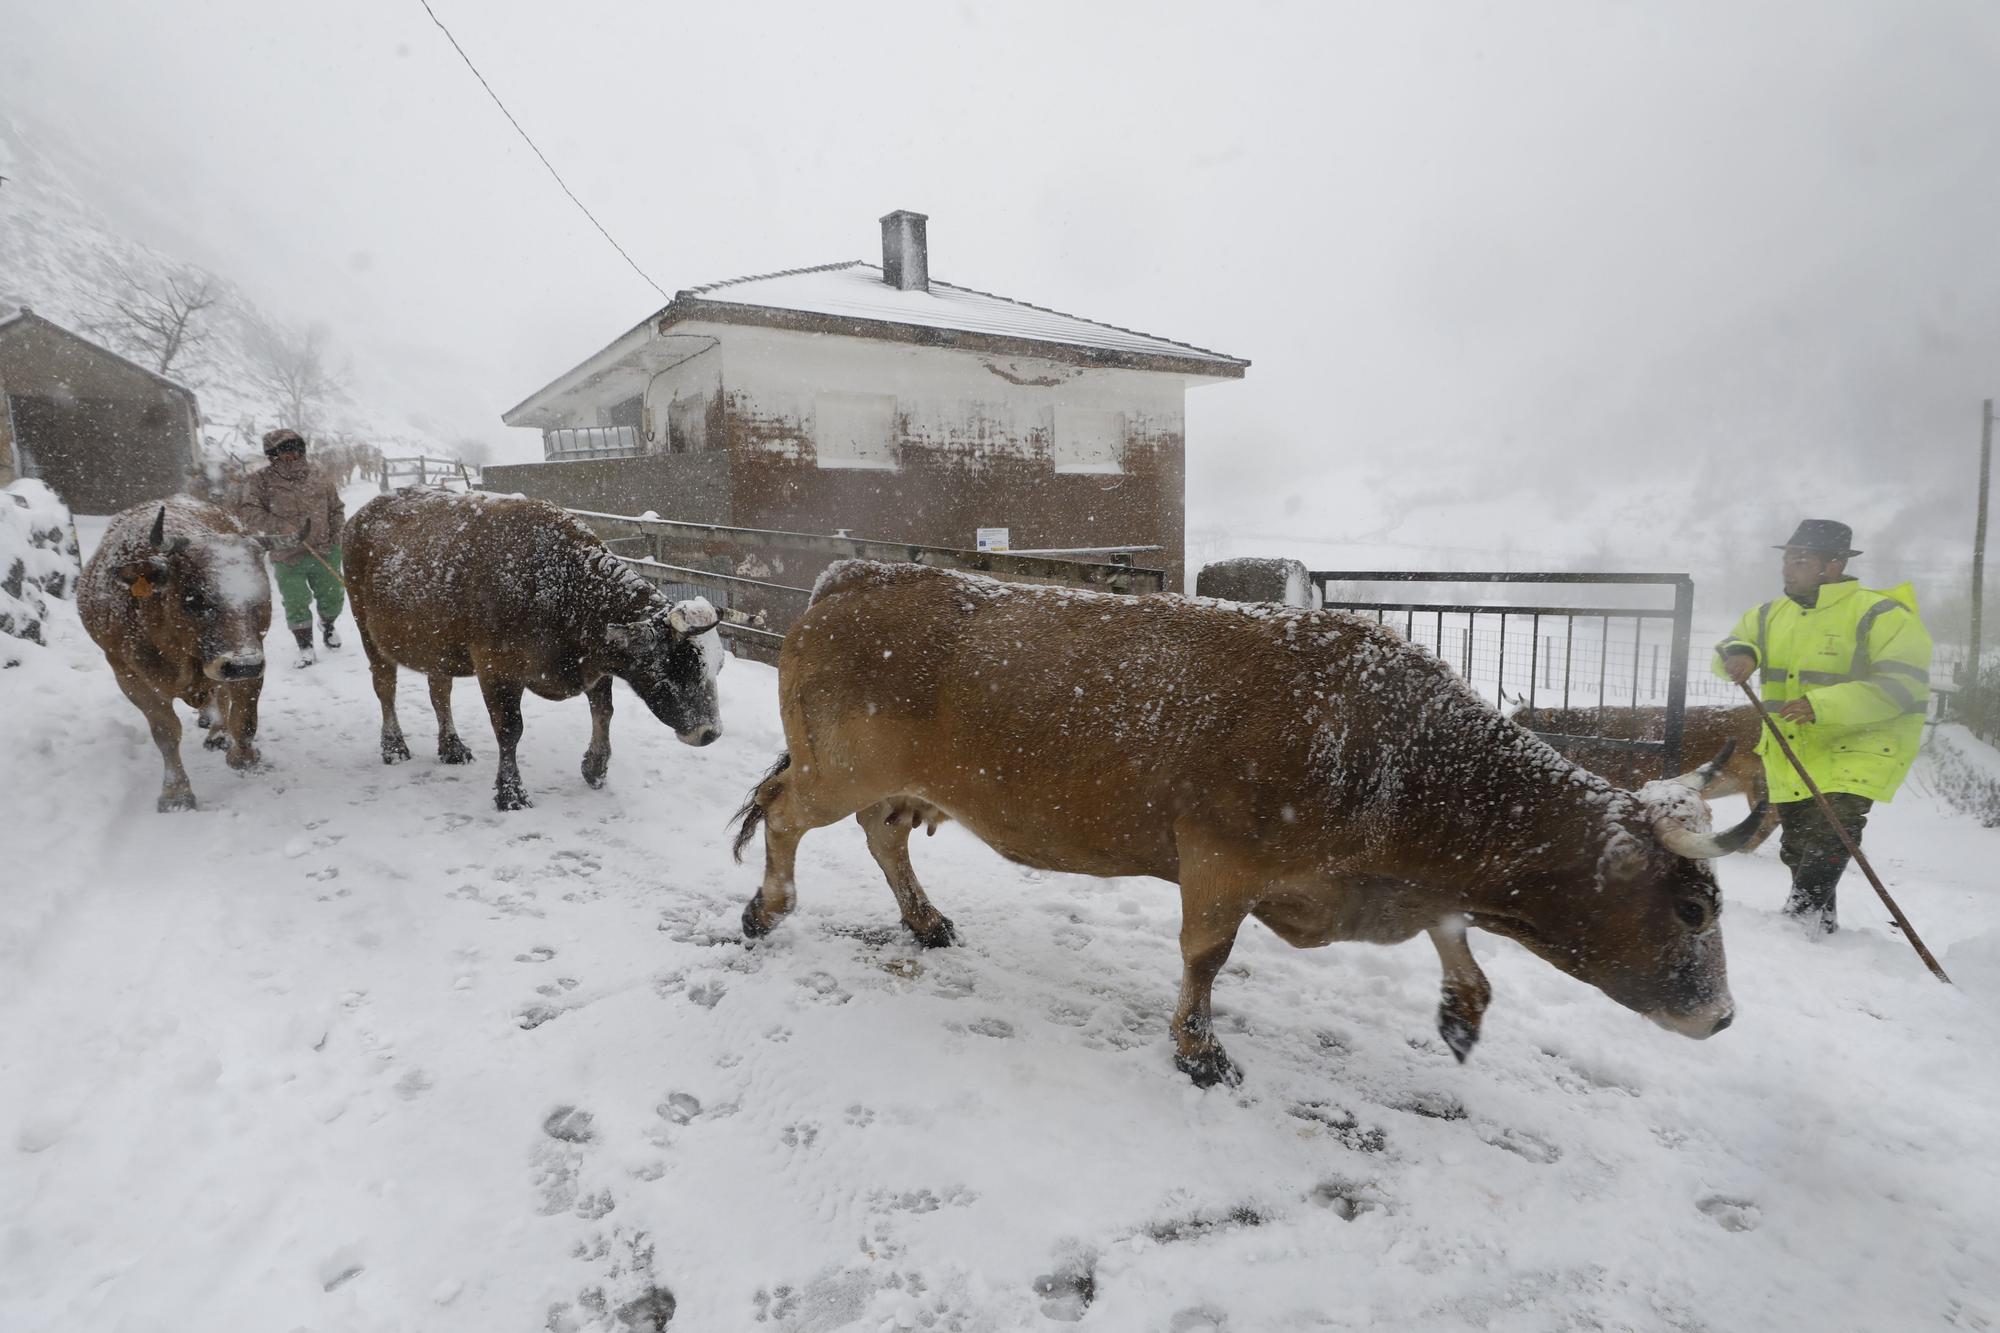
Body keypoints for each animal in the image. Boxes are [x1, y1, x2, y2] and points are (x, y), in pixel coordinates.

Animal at [81, 498, 274, 808]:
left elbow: (244, 719)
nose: (241, 665)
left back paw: (219, 734)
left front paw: (243, 758)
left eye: (262, 597)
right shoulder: (129, 676)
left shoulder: (253, 654)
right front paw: (176, 793)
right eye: (195, 597)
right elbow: (166, 733)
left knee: (221, 694)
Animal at [344, 486, 728, 804]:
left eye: (717, 667)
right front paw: (511, 793)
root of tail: (364, 512)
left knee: (439, 692)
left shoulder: (597, 661)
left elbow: (603, 713)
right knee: (385, 688)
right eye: (679, 666)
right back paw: (394, 746)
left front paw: (595, 768)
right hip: (369, 633)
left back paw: (451, 746)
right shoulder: (497, 669)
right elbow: (510, 730)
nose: (710, 733)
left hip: (437, 645)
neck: (563, 587)